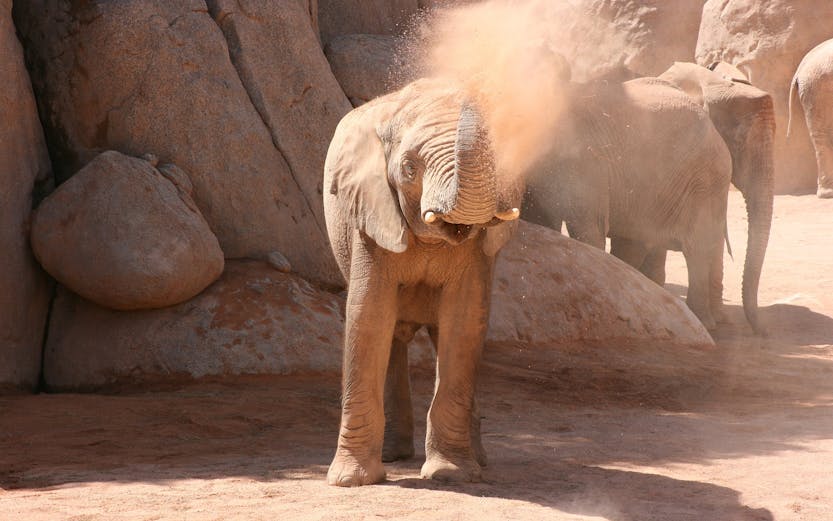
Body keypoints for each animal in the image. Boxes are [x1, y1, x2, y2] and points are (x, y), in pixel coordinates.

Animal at [323, 78, 522, 487]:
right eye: (409, 168)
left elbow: (464, 322)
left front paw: (451, 474)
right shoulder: (371, 214)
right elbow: (368, 316)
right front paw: (350, 481)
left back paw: (479, 461)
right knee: (393, 336)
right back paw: (393, 456)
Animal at [522, 76, 732, 330]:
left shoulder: (585, 164)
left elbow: (589, 230)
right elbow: (542, 221)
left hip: (704, 181)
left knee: (696, 246)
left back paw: (704, 323)